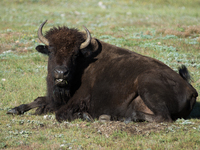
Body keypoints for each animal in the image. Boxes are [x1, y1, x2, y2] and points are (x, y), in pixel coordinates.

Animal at [7, 19, 198, 122]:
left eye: (75, 54)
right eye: (51, 50)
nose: (61, 73)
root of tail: (191, 89)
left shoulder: (76, 101)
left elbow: (60, 114)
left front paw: (85, 116)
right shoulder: (56, 98)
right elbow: (39, 100)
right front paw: (14, 109)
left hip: (147, 85)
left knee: (162, 117)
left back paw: (111, 117)